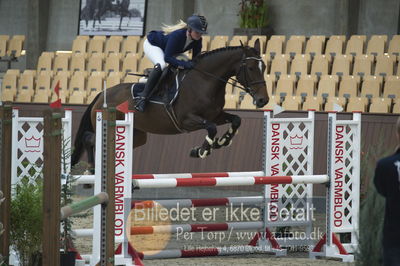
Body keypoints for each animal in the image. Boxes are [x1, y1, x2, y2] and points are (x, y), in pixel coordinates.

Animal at [72, 40, 268, 168]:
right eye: (251, 68)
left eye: (264, 67)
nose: (263, 100)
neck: (205, 80)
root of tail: (101, 94)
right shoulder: (187, 120)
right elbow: (211, 128)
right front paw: (200, 151)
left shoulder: (216, 114)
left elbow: (236, 120)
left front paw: (222, 141)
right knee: (89, 138)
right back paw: (91, 169)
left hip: (137, 135)